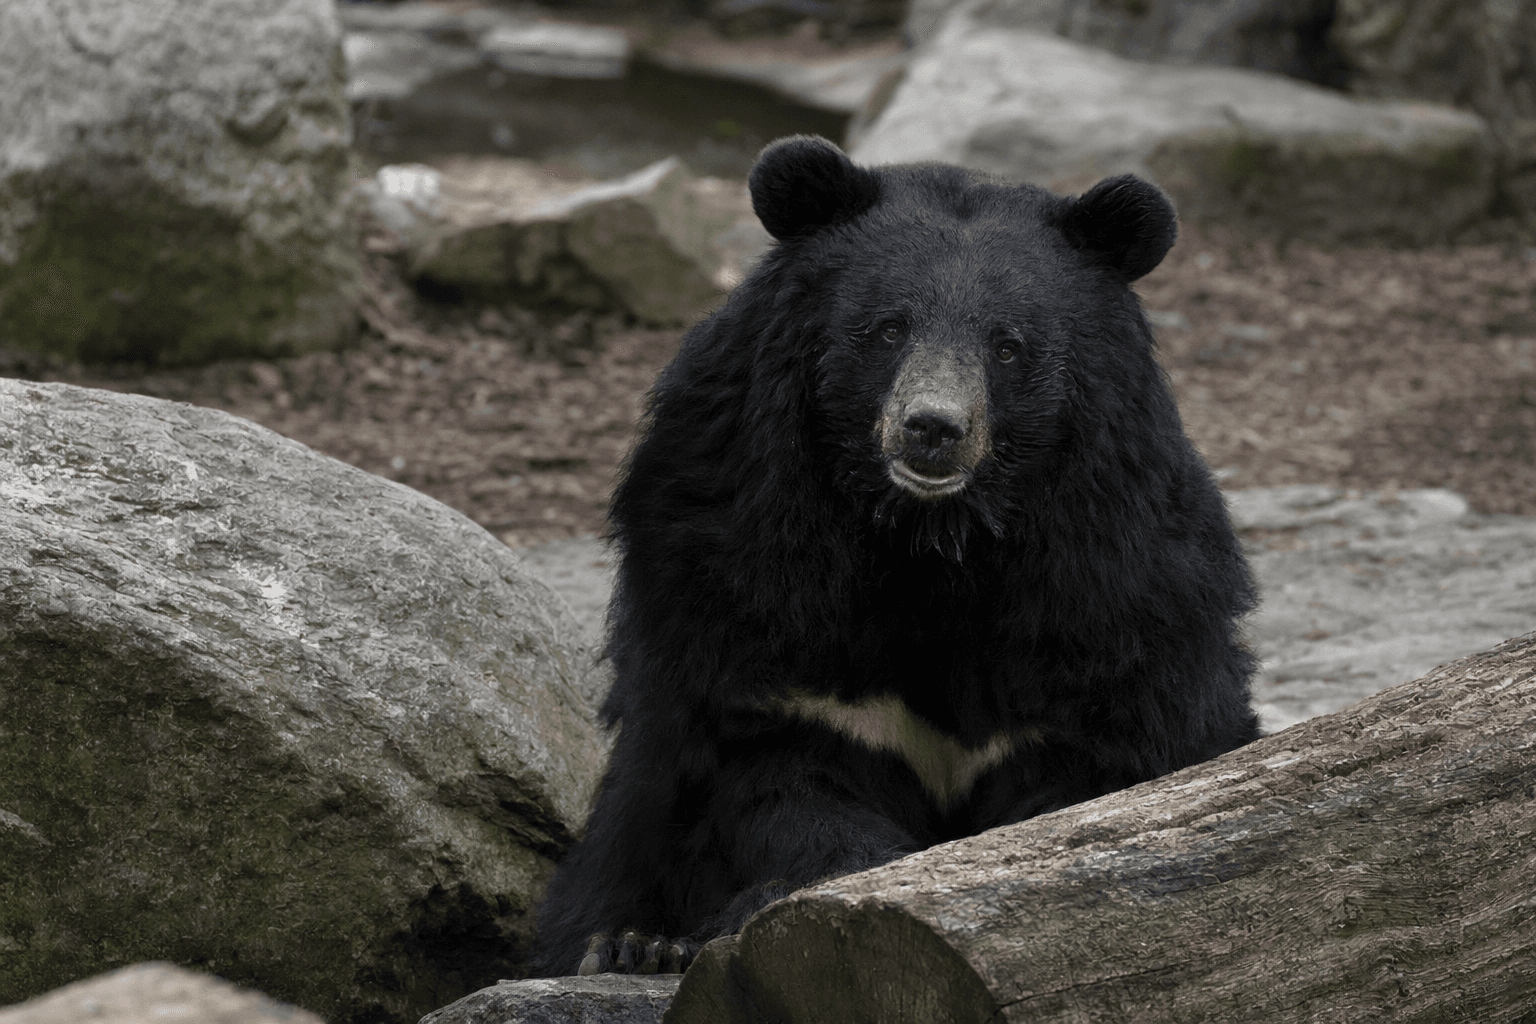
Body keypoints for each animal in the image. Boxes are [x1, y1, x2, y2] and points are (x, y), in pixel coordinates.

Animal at [532, 135, 1261, 977]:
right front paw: (709, 930)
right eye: (885, 330)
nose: (932, 429)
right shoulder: (749, 568)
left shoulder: (1107, 590)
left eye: (1008, 347)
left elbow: (1104, 764)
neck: (928, 540)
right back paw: (629, 946)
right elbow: (775, 776)